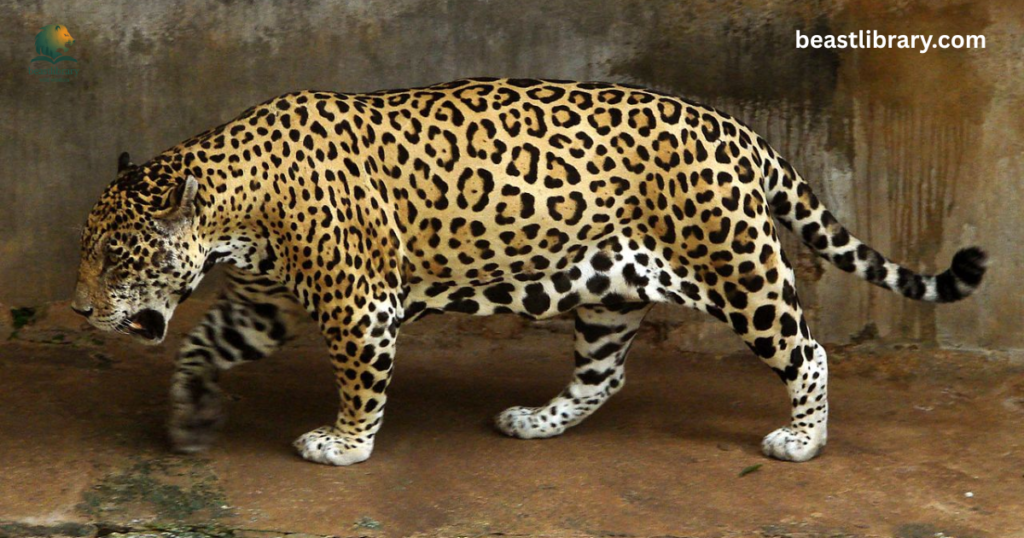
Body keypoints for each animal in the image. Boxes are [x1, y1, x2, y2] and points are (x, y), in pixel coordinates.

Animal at [72, 78, 987, 466]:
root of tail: (744, 132)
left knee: (807, 351)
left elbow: (362, 385)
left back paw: (803, 438)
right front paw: (190, 418)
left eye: (116, 256)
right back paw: (537, 422)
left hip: (736, 267)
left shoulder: (357, 306)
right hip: (611, 288)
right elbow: (201, 348)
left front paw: (345, 445)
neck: (236, 208)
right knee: (603, 375)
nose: (80, 312)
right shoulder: (264, 303)